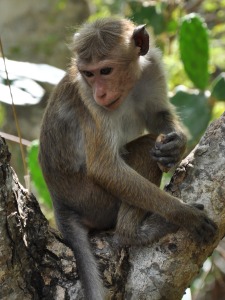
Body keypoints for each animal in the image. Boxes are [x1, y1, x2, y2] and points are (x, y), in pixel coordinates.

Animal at [39, 17, 218, 298]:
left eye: (105, 71)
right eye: (88, 74)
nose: (100, 93)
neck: (128, 87)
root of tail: (60, 204)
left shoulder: (152, 65)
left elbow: (156, 113)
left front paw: (176, 144)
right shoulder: (88, 100)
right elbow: (105, 169)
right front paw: (183, 215)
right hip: (93, 199)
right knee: (144, 148)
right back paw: (132, 234)